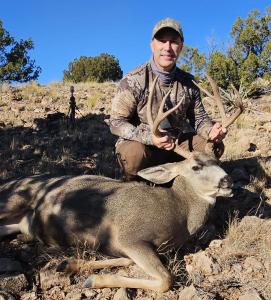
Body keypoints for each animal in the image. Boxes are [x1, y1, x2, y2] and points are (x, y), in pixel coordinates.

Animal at [0, 74, 242, 292]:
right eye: (196, 167)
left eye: (217, 161)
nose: (228, 181)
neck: (179, 212)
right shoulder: (130, 237)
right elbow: (166, 279)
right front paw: (93, 280)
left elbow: (124, 261)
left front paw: (70, 264)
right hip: (13, 200)